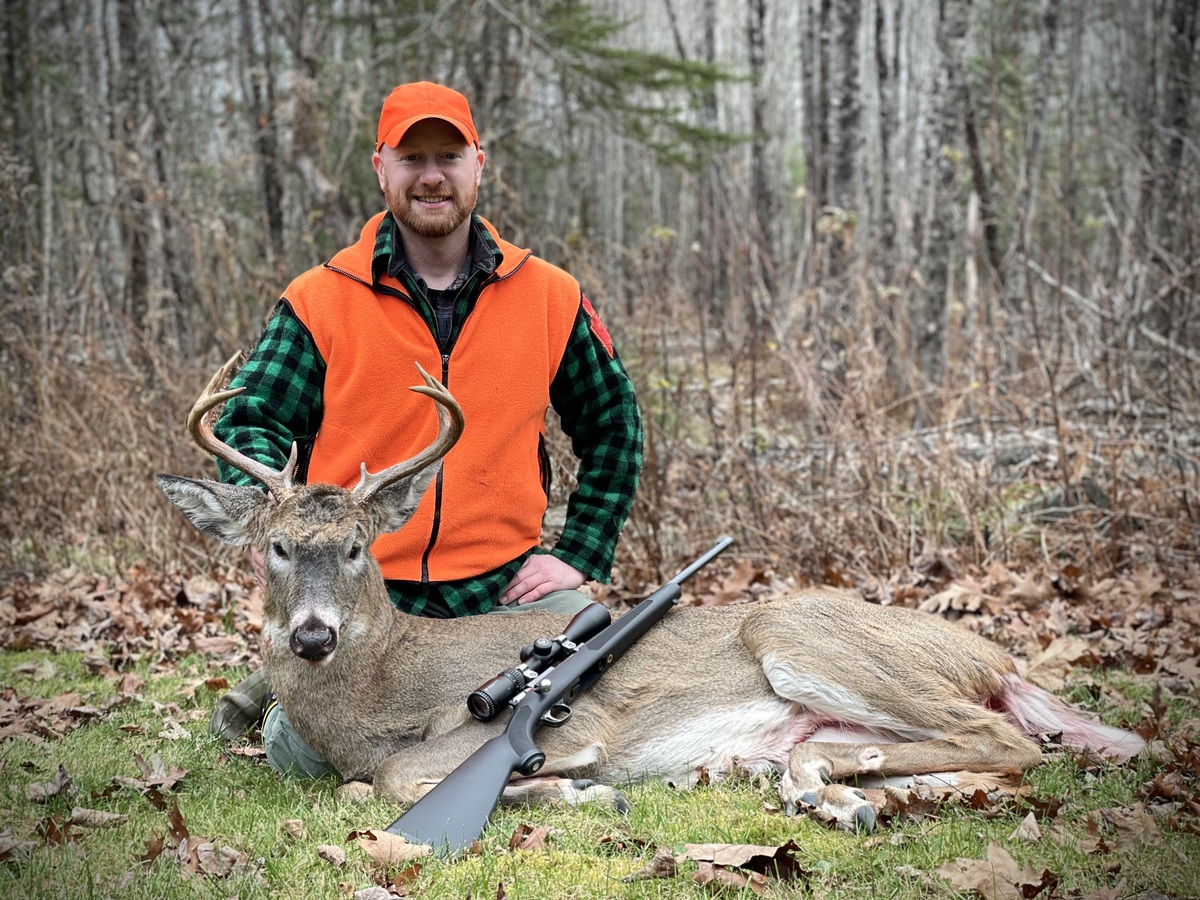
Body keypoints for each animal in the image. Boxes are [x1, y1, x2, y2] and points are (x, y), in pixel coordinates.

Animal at [157, 356, 1146, 834]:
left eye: (359, 548)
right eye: (276, 548)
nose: (313, 637)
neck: (373, 699)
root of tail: (997, 655)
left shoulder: (567, 725)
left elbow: (388, 785)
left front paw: (580, 796)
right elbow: (366, 788)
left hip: (799, 632)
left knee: (1004, 739)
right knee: (973, 760)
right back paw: (829, 790)